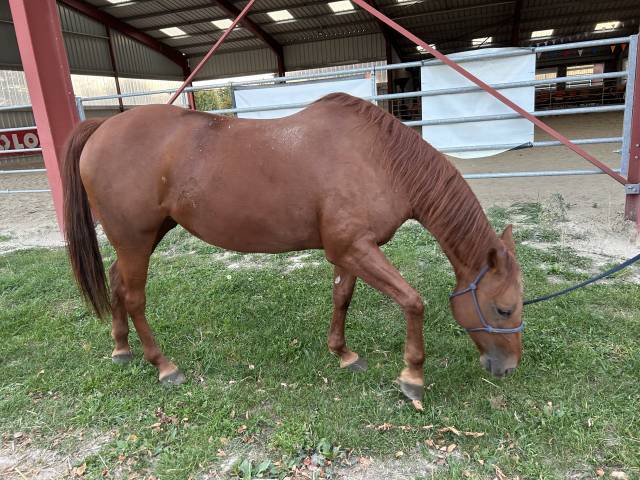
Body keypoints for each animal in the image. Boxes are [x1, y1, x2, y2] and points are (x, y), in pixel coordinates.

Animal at [62, 93, 523, 402]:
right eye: (504, 309)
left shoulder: (350, 250)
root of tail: (102, 128)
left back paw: (122, 348)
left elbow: (342, 297)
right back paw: (163, 365)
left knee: (117, 282)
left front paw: (344, 353)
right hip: (135, 239)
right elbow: (413, 302)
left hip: (143, 236)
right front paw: (412, 377)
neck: (380, 159)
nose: (509, 368)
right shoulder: (355, 248)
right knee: (135, 297)